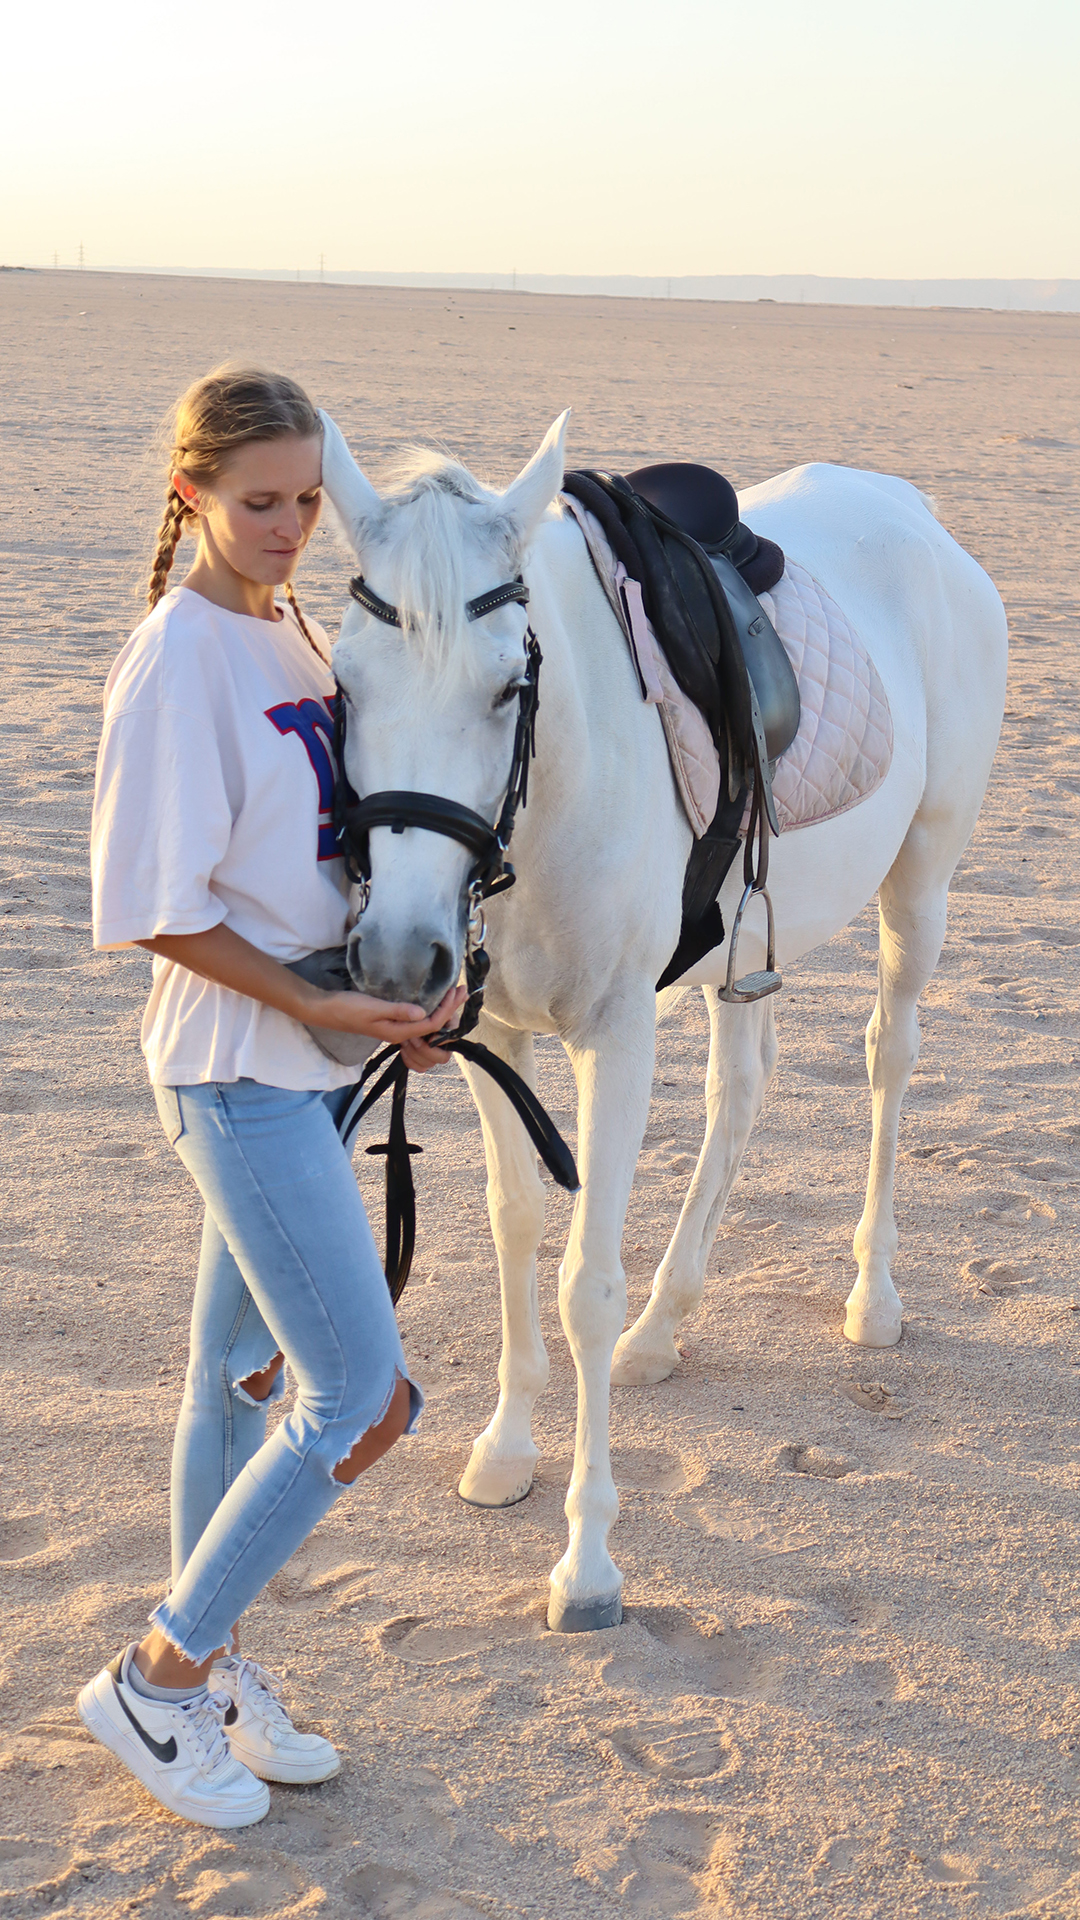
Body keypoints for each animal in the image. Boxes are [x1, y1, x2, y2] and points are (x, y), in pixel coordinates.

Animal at [318, 410, 1008, 1633]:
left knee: (891, 1060)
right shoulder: (496, 1039)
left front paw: (589, 1562)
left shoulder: (617, 1036)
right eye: (346, 681)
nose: (399, 954)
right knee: (744, 1088)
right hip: (741, 950)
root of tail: (911, 510)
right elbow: (515, 1231)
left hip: (921, 883)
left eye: (509, 686)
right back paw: (666, 1325)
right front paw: (506, 1450)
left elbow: (584, 1285)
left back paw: (870, 1296)